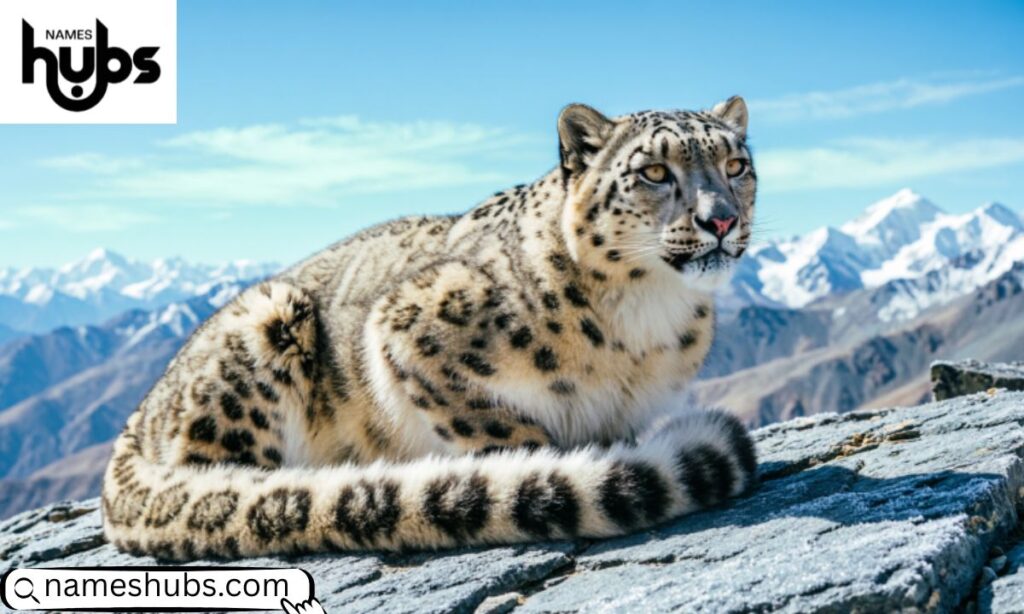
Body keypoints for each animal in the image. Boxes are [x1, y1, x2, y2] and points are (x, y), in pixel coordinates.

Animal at [101, 96, 759, 560]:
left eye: (736, 165)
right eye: (654, 171)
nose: (721, 220)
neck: (644, 324)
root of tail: (137, 419)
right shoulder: (405, 329)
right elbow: (499, 428)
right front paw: (528, 473)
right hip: (268, 321)